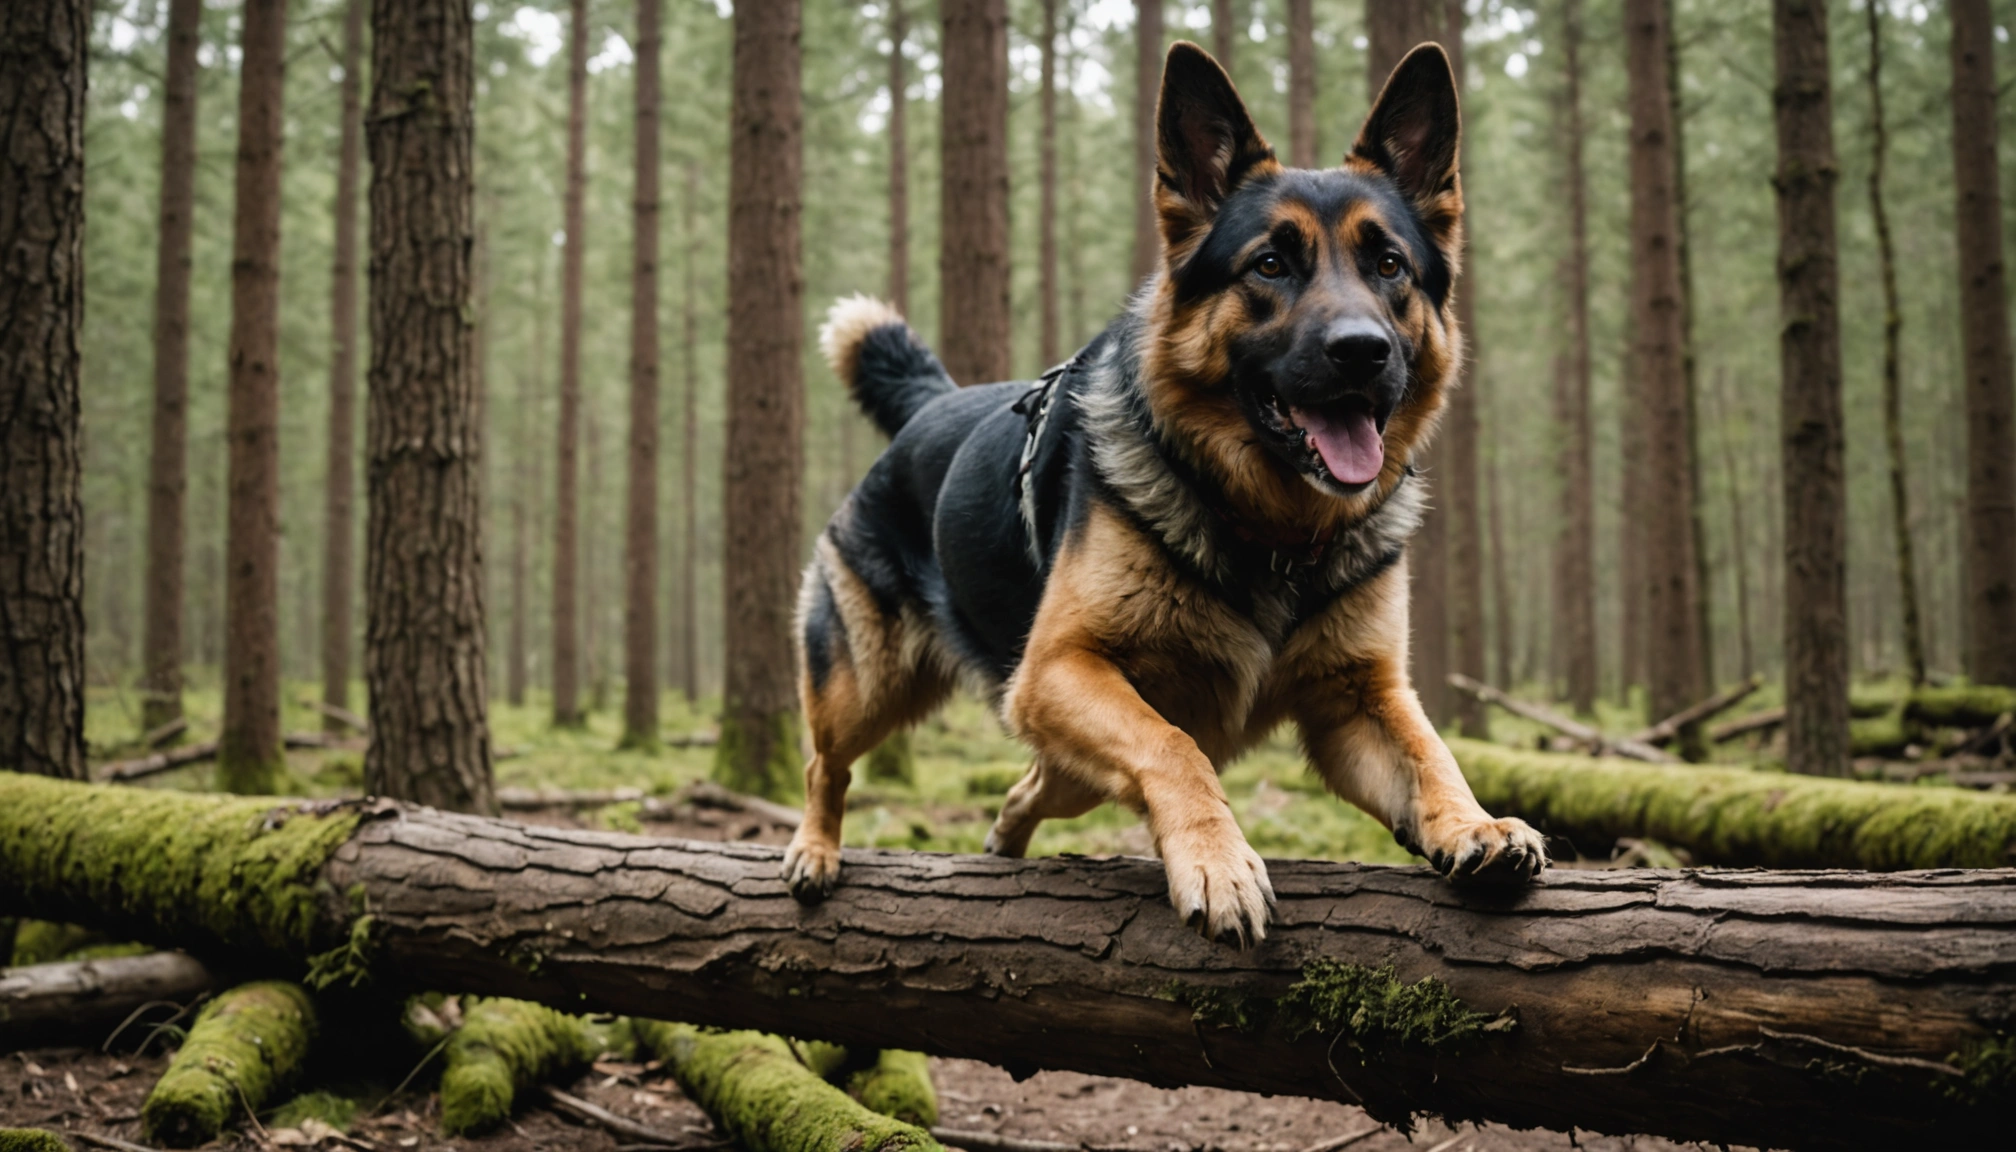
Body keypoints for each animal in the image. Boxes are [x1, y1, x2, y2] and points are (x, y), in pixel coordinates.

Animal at [786, 42, 1540, 948]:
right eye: (1270, 264)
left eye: (1389, 265)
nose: (1362, 351)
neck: (1272, 528)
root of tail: (931, 405)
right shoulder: (1061, 668)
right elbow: (1173, 744)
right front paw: (1217, 861)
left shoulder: (1360, 699)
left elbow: (1433, 753)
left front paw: (1473, 822)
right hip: (867, 685)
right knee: (826, 762)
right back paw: (814, 849)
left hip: (1047, 746)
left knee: (1033, 784)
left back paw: (1005, 838)